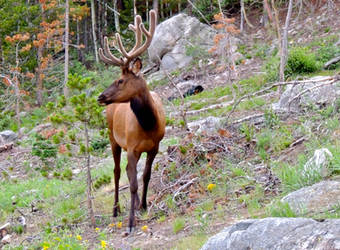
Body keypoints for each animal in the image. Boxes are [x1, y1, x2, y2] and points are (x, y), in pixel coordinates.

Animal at [96, 9, 165, 232]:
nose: (100, 96)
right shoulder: (132, 147)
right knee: (117, 172)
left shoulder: (154, 146)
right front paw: (131, 223)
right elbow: (133, 183)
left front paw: (142, 206)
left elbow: (145, 176)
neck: (149, 125)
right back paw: (116, 209)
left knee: (127, 171)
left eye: (120, 80)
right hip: (113, 139)